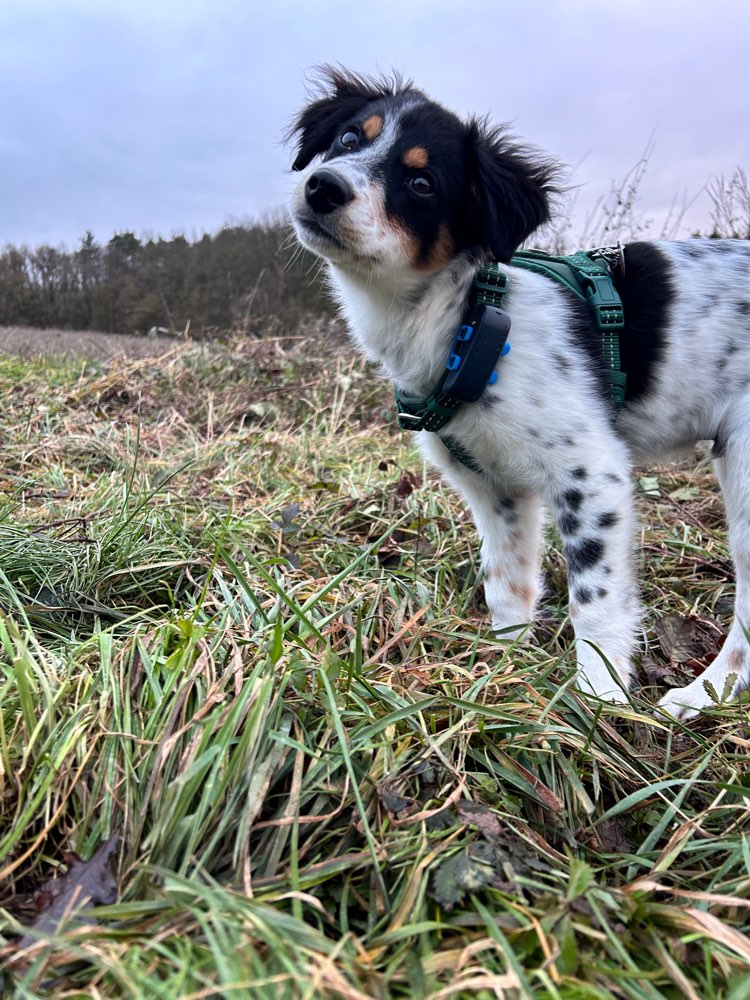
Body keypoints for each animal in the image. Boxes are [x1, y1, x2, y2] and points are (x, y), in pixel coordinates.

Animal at [288, 66, 750, 716]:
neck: (465, 319)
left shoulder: (592, 475)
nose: (322, 187)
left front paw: (597, 701)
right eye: (350, 140)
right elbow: (505, 580)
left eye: (422, 183)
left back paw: (702, 694)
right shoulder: (492, 485)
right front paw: (501, 670)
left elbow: (595, 600)